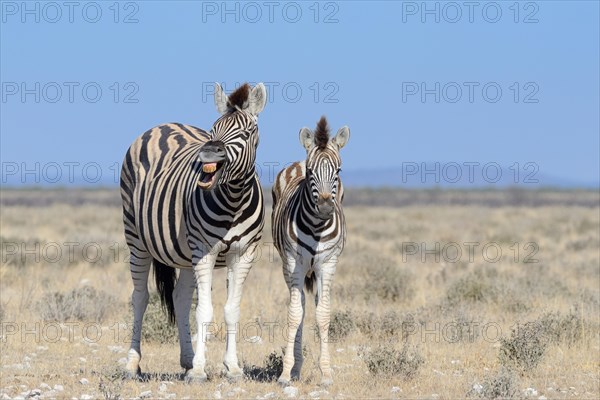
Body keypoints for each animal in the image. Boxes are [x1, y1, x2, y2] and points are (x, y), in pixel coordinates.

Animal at [119, 81, 268, 382]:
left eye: (247, 133)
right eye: (213, 130)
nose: (208, 152)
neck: (234, 200)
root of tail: (161, 125)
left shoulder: (243, 254)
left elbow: (231, 310)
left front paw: (232, 368)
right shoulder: (205, 251)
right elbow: (204, 310)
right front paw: (199, 371)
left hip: (185, 253)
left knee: (179, 298)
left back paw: (186, 360)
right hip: (136, 239)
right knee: (139, 298)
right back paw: (132, 364)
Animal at [270, 117, 350, 386]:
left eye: (338, 171)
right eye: (310, 172)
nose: (325, 208)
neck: (316, 226)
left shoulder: (328, 264)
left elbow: (323, 314)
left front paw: (326, 373)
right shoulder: (294, 263)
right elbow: (295, 315)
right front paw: (286, 373)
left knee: (314, 305)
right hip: (289, 267)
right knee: (302, 307)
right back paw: (296, 368)